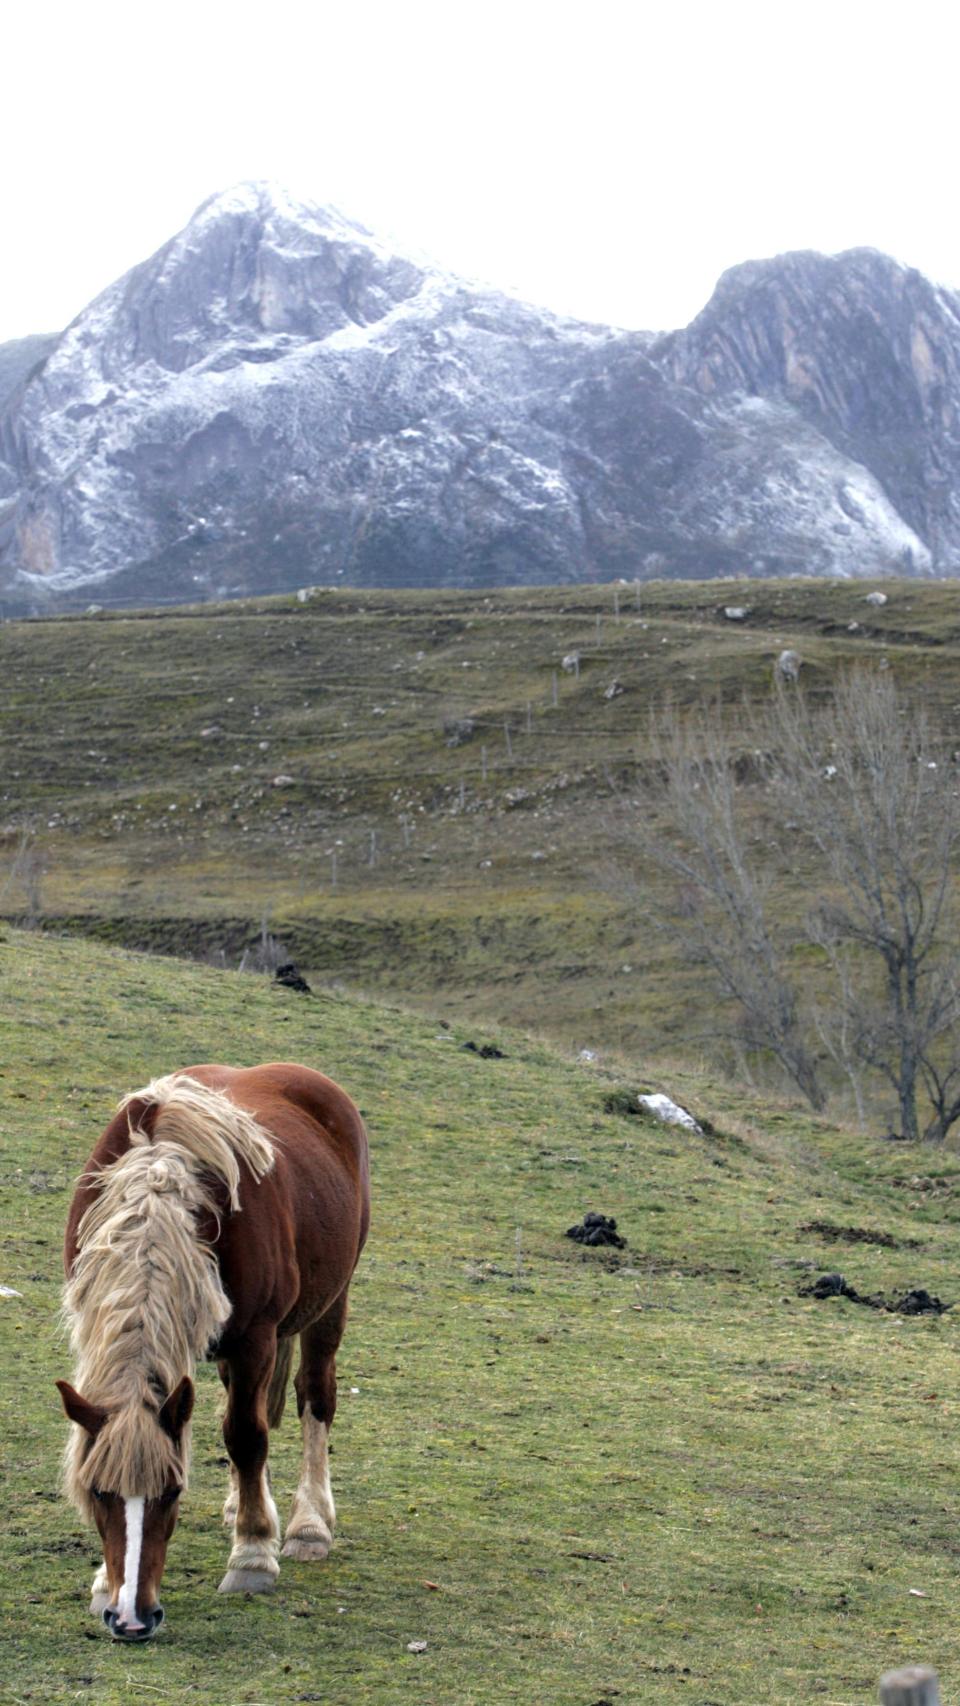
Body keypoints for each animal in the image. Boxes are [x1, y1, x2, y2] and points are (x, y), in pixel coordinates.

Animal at [56, 1062, 370, 1642]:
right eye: (98, 1493)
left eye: (174, 1492)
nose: (131, 1619)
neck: (157, 1187)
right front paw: (103, 1584)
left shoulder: (255, 1338)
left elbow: (246, 1436)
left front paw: (253, 1555)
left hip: (329, 1304)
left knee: (314, 1397)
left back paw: (308, 1524)